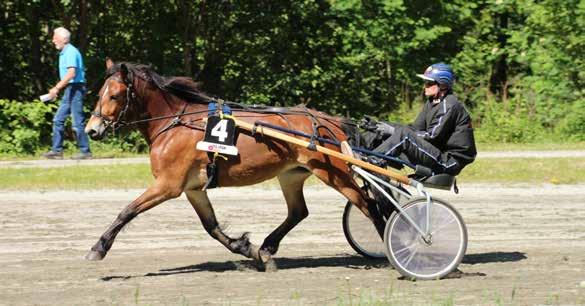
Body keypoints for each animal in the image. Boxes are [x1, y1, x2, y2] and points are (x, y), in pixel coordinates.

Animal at [83, 59, 384, 270]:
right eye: (100, 93)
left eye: (114, 95)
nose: (92, 130)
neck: (175, 123)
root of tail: (328, 121)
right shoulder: (193, 188)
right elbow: (211, 226)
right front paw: (246, 248)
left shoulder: (168, 185)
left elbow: (127, 211)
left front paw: (98, 248)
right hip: (292, 175)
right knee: (299, 211)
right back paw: (266, 248)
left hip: (333, 173)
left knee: (369, 205)